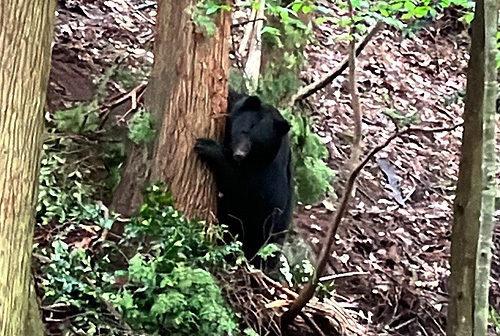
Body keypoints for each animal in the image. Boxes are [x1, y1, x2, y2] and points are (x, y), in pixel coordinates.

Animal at [193, 90, 292, 262]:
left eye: (257, 144)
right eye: (244, 131)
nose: (239, 154)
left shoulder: (268, 172)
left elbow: (242, 186)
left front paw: (206, 146)